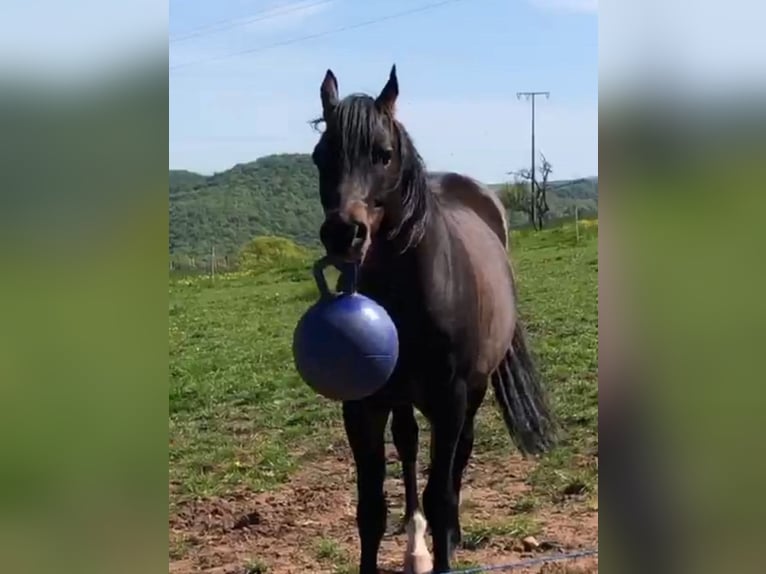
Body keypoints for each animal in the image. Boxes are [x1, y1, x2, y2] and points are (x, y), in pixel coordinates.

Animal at [310, 64, 557, 574]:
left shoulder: (450, 399)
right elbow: (371, 508)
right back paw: (414, 543)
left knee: (460, 454)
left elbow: (441, 494)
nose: (344, 233)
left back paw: (447, 538)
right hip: (402, 397)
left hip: (473, 391)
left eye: (383, 155)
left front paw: (446, 543)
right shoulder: (361, 405)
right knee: (406, 444)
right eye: (319, 157)